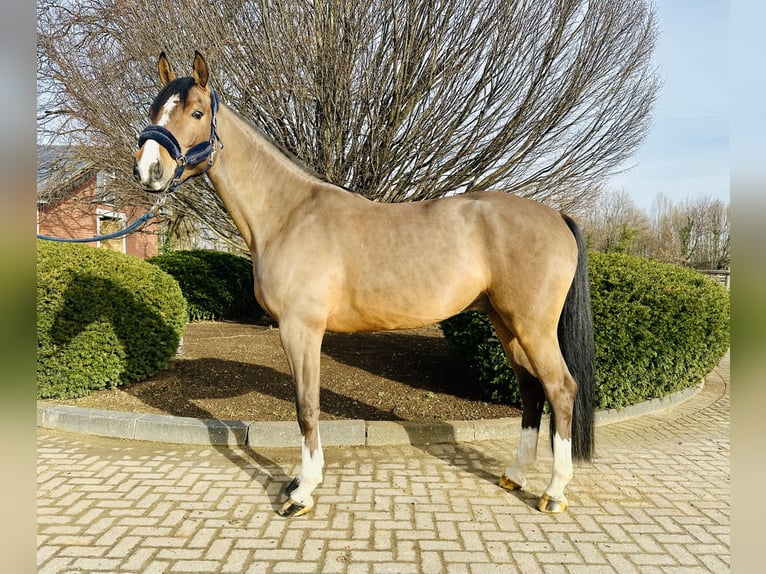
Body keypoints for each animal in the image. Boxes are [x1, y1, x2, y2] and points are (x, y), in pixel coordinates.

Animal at [135, 51, 596, 520]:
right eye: (154, 110)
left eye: (196, 112)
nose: (149, 170)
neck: (289, 214)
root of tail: (556, 216)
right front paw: (301, 482)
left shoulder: (301, 330)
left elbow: (307, 407)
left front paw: (302, 492)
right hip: (506, 324)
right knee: (532, 391)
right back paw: (516, 475)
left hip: (533, 327)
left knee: (561, 390)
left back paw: (553, 491)